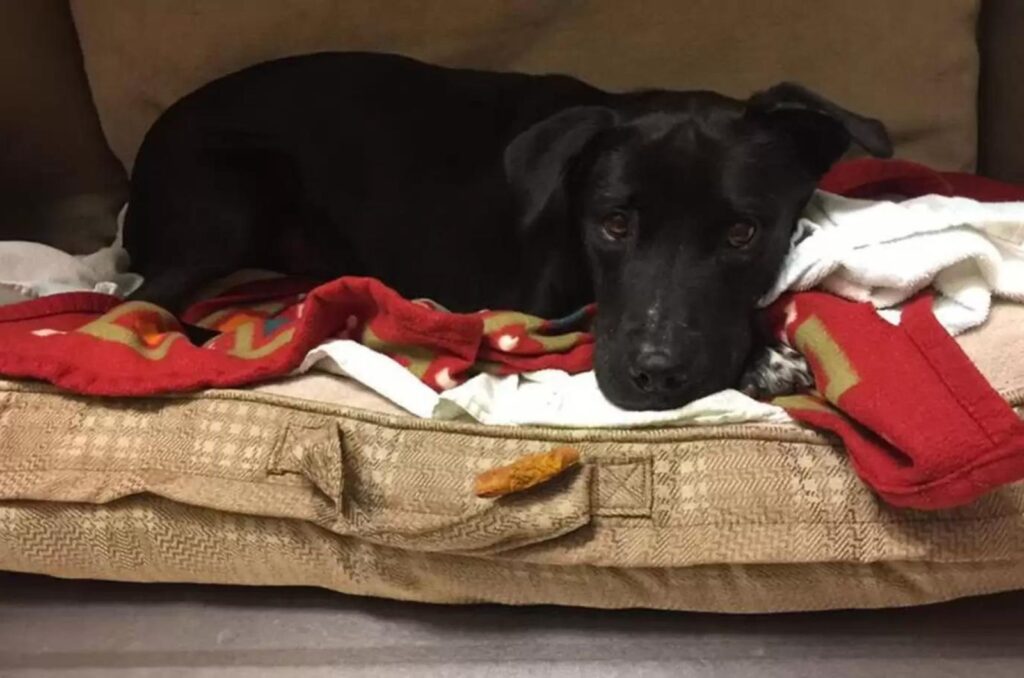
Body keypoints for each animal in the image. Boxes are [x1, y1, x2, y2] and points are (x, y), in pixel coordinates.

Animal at [123, 51, 888, 409]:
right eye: (613, 224)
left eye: (742, 235)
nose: (657, 375)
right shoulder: (547, 303)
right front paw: (766, 357)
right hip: (229, 201)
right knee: (134, 302)